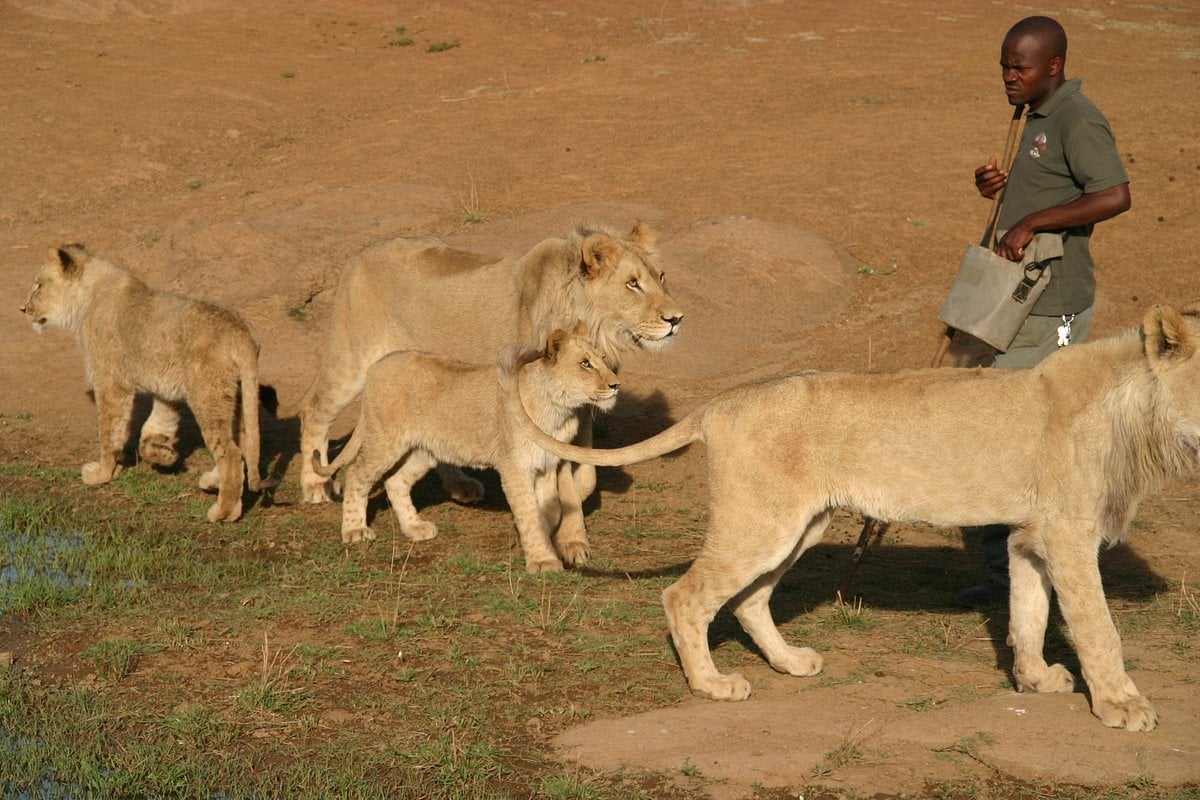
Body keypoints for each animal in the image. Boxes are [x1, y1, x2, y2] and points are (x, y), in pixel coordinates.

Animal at [19, 244, 276, 522]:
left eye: (38, 286)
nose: (23, 309)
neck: (85, 300)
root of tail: (242, 333)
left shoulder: (110, 382)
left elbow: (109, 432)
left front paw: (102, 474)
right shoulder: (166, 393)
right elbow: (152, 430)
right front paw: (166, 456)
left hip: (208, 397)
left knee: (230, 454)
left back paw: (221, 512)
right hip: (237, 398)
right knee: (241, 449)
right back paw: (217, 489)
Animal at [297, 222, 683, 515]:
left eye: (662, 276)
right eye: (632, 283)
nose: (677, 319)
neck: (599, 331)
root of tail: (360, 254)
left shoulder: (583, 397)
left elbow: (585, 466)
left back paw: (460, 485)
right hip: (352, 357)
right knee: (313, 408)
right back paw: (315, 485)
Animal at [310, 325, 619, 572]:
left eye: (603, 361)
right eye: (585, 364)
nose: (616, 385)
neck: (559, 411)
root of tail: (378, 365)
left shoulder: (546, 465)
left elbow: (550, 509)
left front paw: (547, 539)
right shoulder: (514, 468)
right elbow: (530, 513)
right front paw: (543, 561)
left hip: (424, 450)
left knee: (396, 480)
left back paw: (414, 528)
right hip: (386, 440)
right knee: (356, 473)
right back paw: (355, 530)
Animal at [506, 301, 1200, 731]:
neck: (1140, 414)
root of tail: (724, 401)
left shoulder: (1031, 535)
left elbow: (1028, 612)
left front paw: (1034, 679)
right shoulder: (1069, 534)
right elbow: (1097, 628)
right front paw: (1123, 706)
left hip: (797, 525)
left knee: (749, 600)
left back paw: (790, 663)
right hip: (762, 523)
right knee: (686, 596)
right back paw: (713, 685)